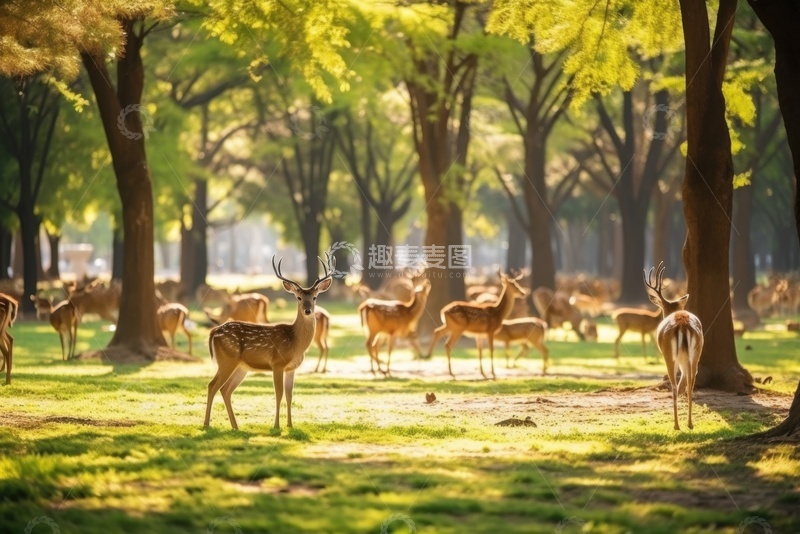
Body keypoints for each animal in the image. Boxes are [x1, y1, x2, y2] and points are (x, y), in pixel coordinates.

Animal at [204, 256, 333, 430]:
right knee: (212, 386)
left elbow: (289, 395)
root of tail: (213, 332)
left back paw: (235, 427)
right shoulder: (277, 363)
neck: (295, 342)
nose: (308, 310)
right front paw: (277, 426)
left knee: (226, 389)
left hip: (241, 366)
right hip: (227, 360)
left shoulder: (291, 368)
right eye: (298, 297)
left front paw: (290, 425)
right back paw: (206, 424)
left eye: (315, 297)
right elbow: (278, 394)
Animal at [644, 262, 704, 431]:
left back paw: (676, 425)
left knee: (675, 386)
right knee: (690, 382)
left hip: (669, 355)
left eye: (662, 307)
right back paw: (690, 423)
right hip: (695, 353)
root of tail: (683, 324)